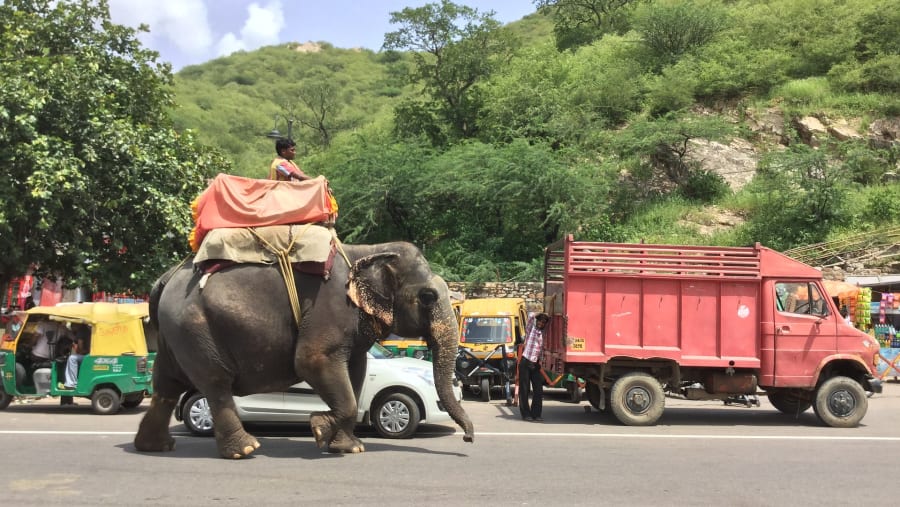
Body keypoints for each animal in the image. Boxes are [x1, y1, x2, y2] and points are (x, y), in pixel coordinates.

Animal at [133, 241, 474, 459]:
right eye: (428, 297)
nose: (469, 439)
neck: (367, 251)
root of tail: (165, 279)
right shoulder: (329, 308)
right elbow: (311, 361)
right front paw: (319, 429)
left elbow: (356, 372)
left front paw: (349, 447)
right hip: (196, 329)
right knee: (215, 384)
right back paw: (245, 450)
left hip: (175, 335)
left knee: (166, 384)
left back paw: (155, 447)